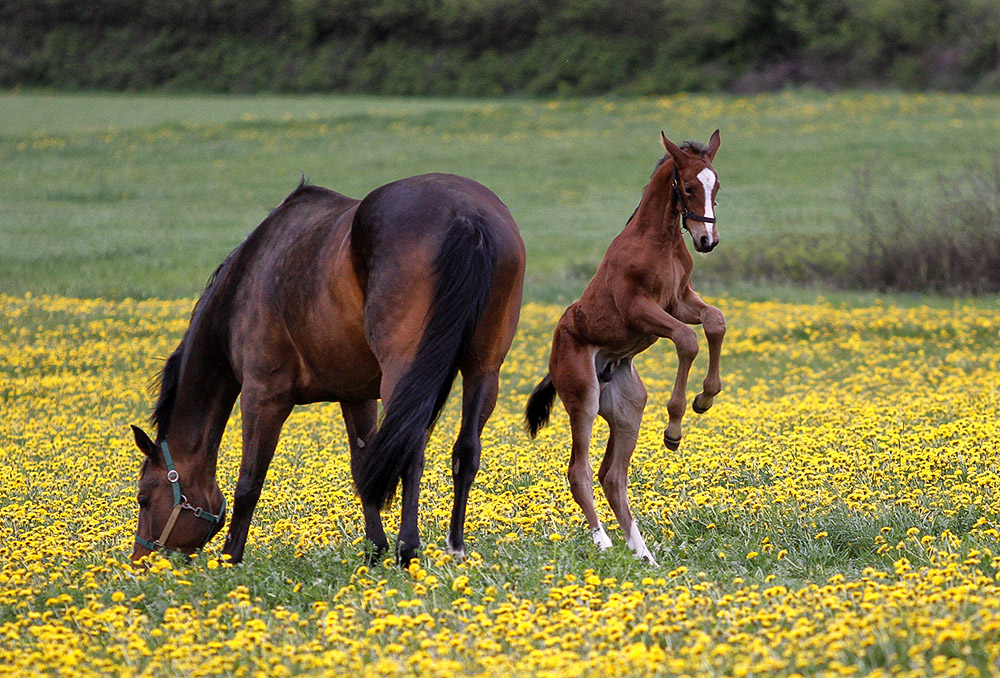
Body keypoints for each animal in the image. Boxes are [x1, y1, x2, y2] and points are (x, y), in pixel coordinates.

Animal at [129, 173, 528, 564]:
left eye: (144, 498)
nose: (140, 562)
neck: (247, 280)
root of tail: (466, 216)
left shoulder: (263, 395)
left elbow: (249, 481)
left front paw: (230, 559)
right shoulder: (356, 396)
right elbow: (362, 466)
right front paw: (375, 550)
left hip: (405, 376)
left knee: (411, 449)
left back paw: (409, 549)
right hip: (483, 369)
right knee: (466, 451)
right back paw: (454, 546)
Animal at [524, 133, 728, 568]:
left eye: (716, 187)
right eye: (689, 187)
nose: (707, 241)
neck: (658, 242)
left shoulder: (679, 301)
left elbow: (716, 322)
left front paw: (704, 398)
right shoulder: (640, 310)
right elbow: (687, 340)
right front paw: (675, 426)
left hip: (628, 407)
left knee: (612, 476)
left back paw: (644, 554)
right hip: (583, 398)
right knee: (579, 471)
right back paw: (603, 541)